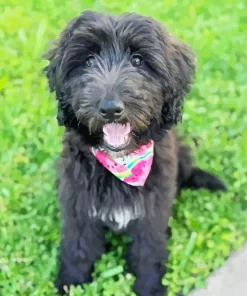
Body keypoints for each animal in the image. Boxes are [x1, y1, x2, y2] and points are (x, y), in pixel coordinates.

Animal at [44, 11, 226, 296]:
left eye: (138, 61)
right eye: (88, 60)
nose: (109, 109)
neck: (123, 163)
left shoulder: (153, 209)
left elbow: (148, 249)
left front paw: (149, 286)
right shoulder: (77, 203)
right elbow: (78, 246)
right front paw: (71, 283)